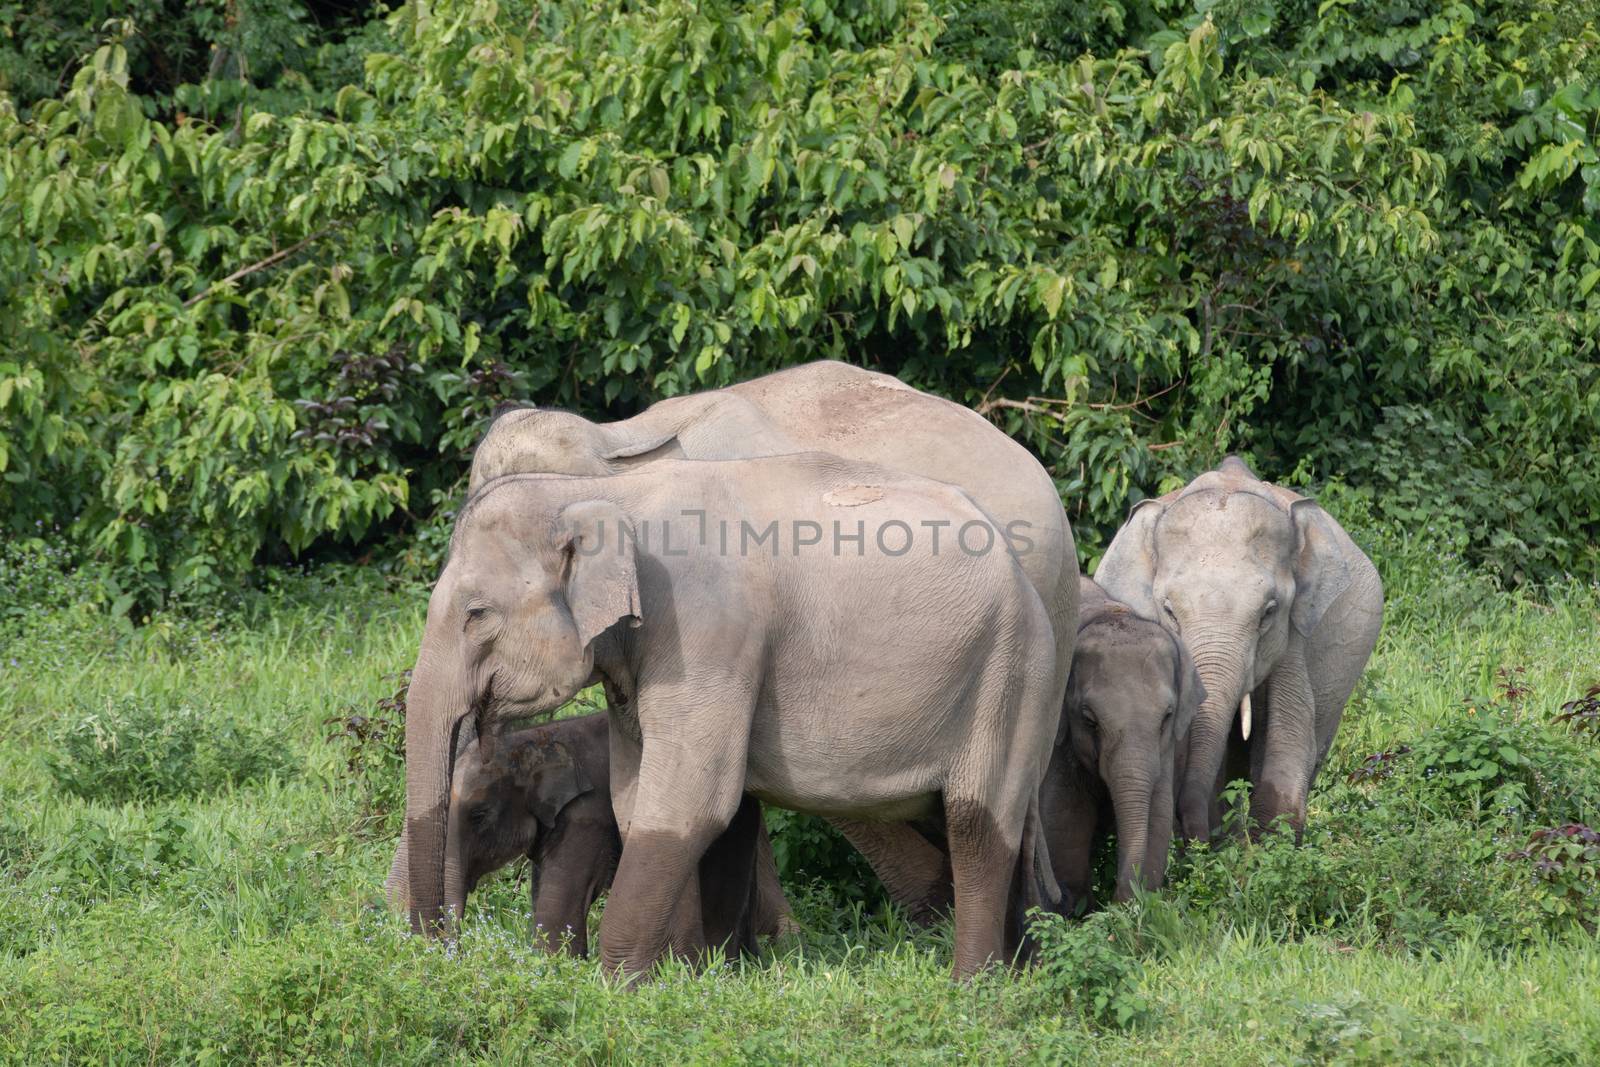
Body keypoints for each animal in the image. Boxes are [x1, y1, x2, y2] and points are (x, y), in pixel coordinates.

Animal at [1043, 575, 1203, 908]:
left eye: (1167, 716)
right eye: (1089, 720)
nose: (1117, 900)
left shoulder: (1166, 748)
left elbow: (1158, 816)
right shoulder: (1058, 739)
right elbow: (1064, 819)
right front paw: (1080, 908)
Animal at [1094, 454, 1382, 838]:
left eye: (1269, 612)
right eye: (1169, 611)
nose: (1195, 836)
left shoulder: (1293, 636)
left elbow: (1291, 730)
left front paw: (1269, 844)